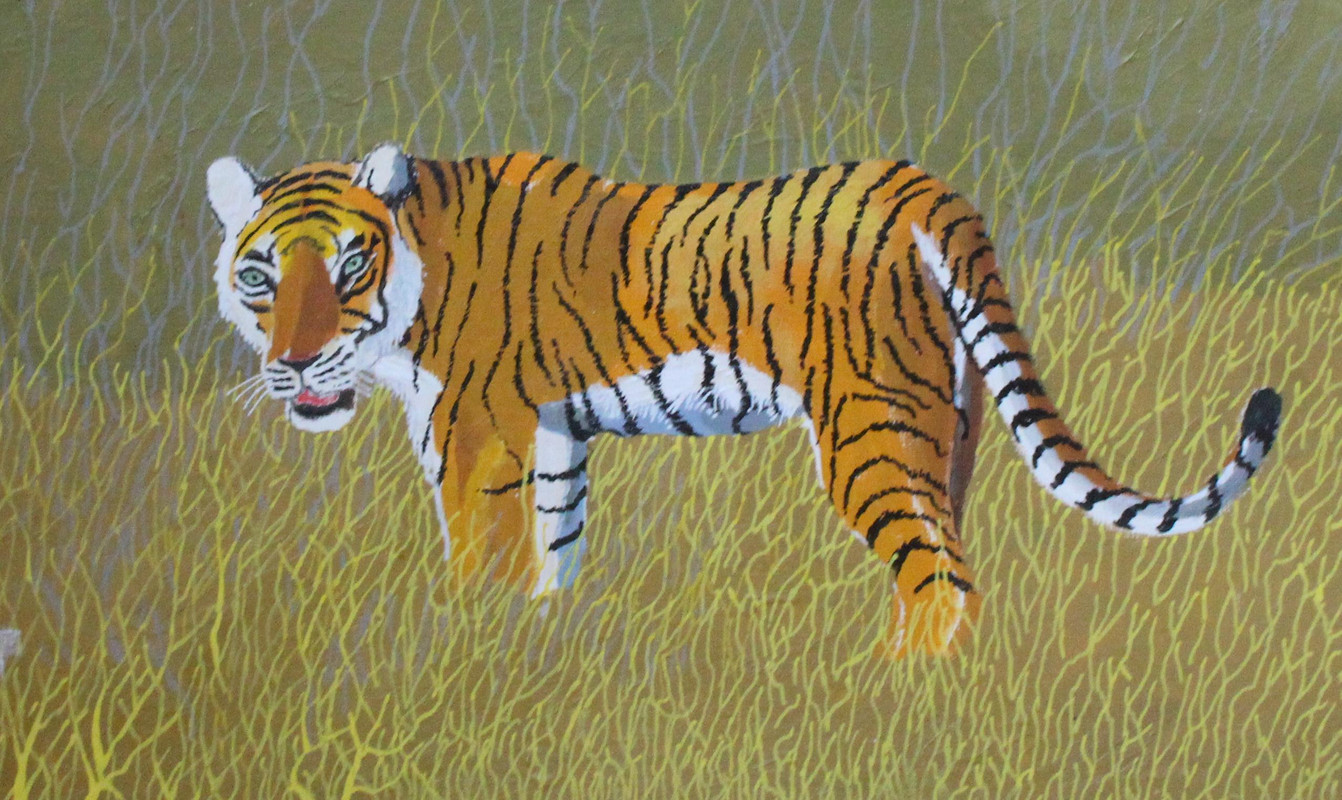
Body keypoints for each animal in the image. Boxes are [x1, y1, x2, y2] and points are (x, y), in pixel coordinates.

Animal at [205, 144, 1282, 658]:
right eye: (260, 276)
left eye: (350, 263)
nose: (297, 364)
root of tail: (923, 185)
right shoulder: (549, 435)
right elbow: (555, 548)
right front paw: (537, 647)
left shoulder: (476, 435)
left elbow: (482, 553)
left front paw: (468, 647)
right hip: (951, 425)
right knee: (947, 556)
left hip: (868, 428)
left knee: (941, 575)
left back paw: (880, 698)